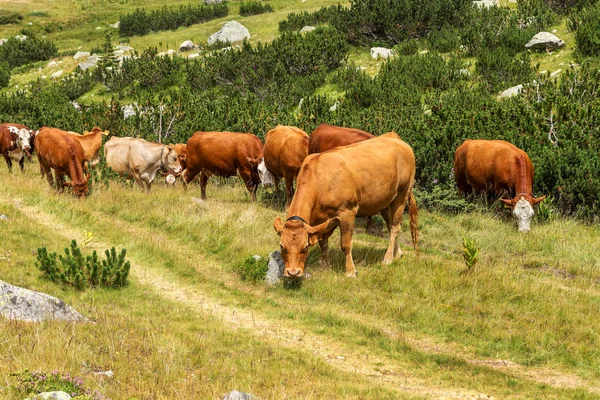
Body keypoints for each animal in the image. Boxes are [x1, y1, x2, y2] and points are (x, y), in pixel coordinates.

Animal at [274, 132, 418, 278]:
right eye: (282, 246)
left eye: (305, 247)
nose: (293, 272)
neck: (320, 178)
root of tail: (393, 136)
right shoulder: (322, 221)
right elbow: (323, 242)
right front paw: (325, 265)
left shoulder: (347, 213)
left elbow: (346, 244)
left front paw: (350, 271)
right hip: (384, 202)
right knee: (390, 226)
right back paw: (397, 254)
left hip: (402, 195)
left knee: (395, 227)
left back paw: (387, 258)